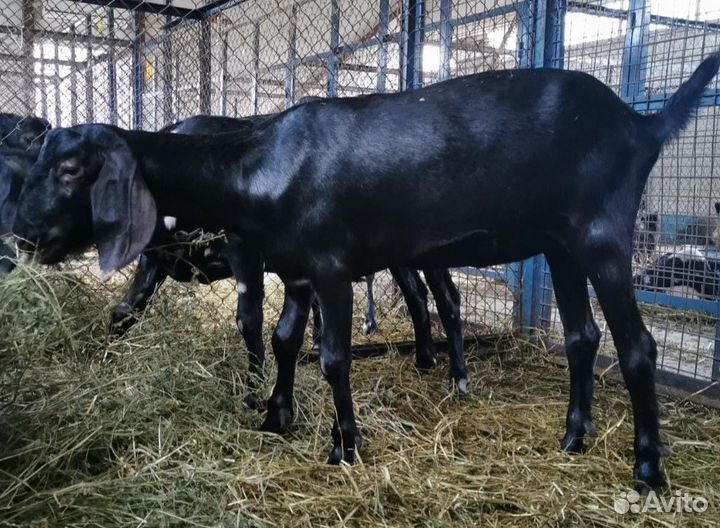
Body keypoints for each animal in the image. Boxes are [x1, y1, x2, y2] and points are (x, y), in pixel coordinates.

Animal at [13, 54, 720, 491]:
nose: (24, 234)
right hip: (560, 245)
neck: (264, 165)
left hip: (601, 238)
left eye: (73, 169)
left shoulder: (329, 268)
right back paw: (573, 439)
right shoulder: (296, 272)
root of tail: (640, 123)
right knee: (581, 338)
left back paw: (648, 471)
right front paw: (276, 418)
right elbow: (283, 341)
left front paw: (344, 445)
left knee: (638, 345)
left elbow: (332, 358)